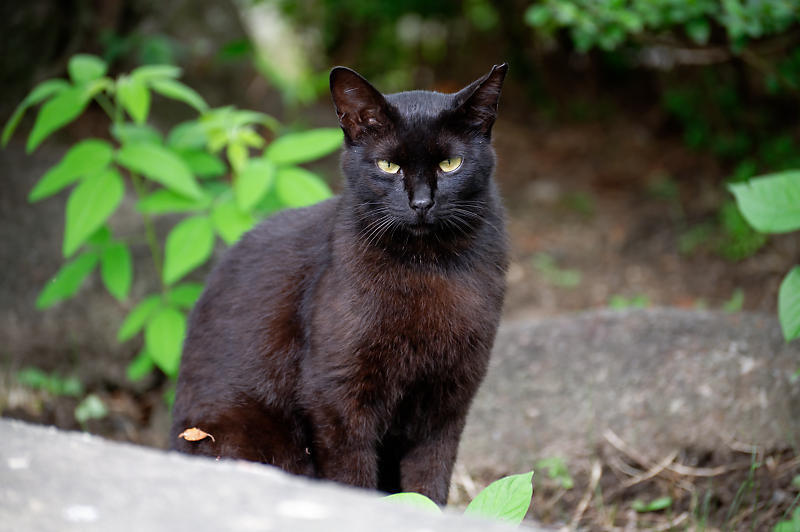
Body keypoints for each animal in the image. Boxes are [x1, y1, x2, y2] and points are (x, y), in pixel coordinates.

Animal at [171, 62, 510, 502]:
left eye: (451, 163)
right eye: (388, 166)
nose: (421, 203)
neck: (426, 267)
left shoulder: (447, 401)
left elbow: (428, 486)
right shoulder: (337, 398)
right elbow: (353, 479)